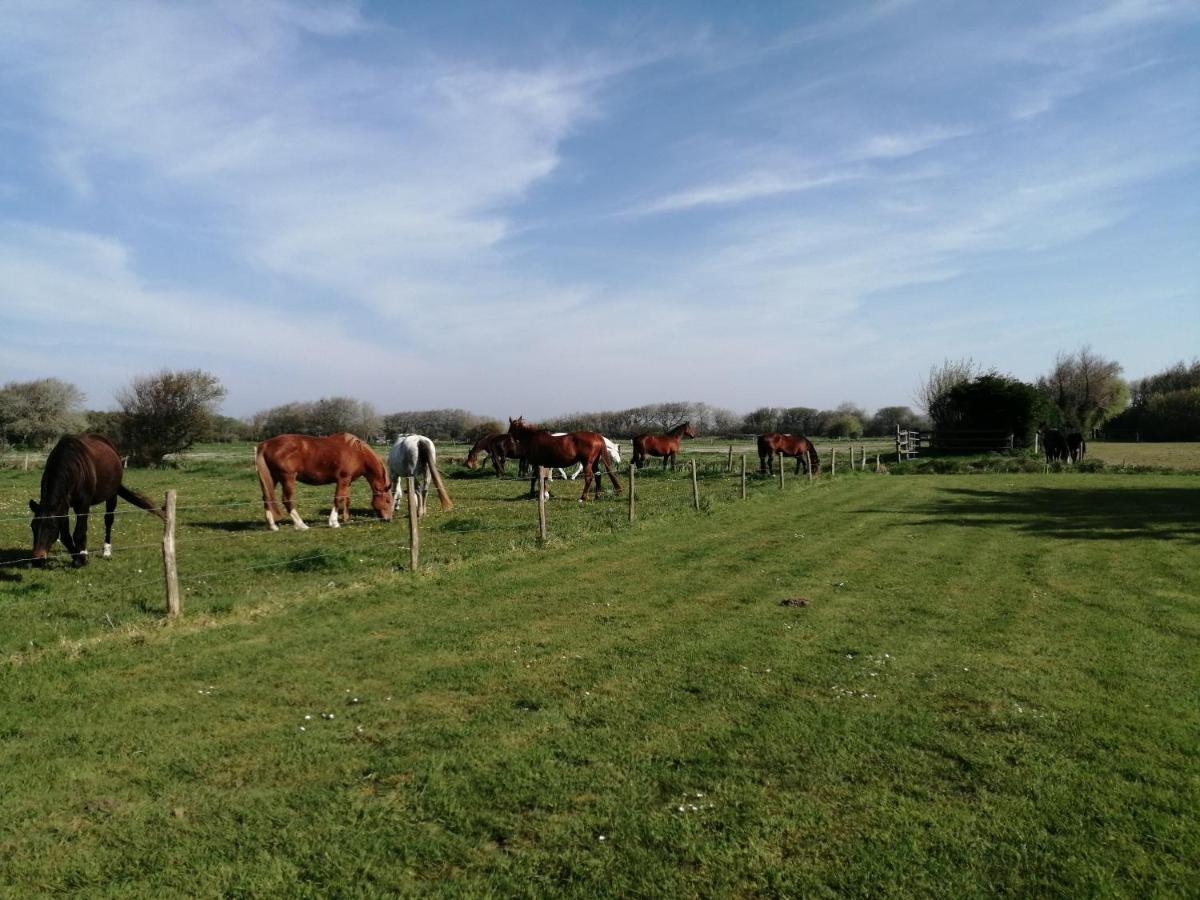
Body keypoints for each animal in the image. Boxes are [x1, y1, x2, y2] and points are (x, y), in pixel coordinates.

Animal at [28, 434, 162, 566]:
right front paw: (77, 557)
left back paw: (106, 551)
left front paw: (82, 559)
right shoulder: (62, 505)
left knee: (108, 520)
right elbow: (66, 536)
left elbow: (79, 532)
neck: (72, 466)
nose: (37, 558)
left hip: (112, 495)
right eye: (33, 526)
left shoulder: (83, 503)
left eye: (51, 527)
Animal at [255, 434, 391, 532]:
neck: (357, 452)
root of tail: (266, 444)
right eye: (388, 501)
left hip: (272, 478)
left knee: (266, 497)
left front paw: (346, 519)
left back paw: (273, 526)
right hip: (287, 478)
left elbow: (347, 499)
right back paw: (301, 525)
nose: (389, 519)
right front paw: (334, 522)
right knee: (287, 500)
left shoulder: (348, 481)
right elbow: (338, 499)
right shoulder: (343, 479)